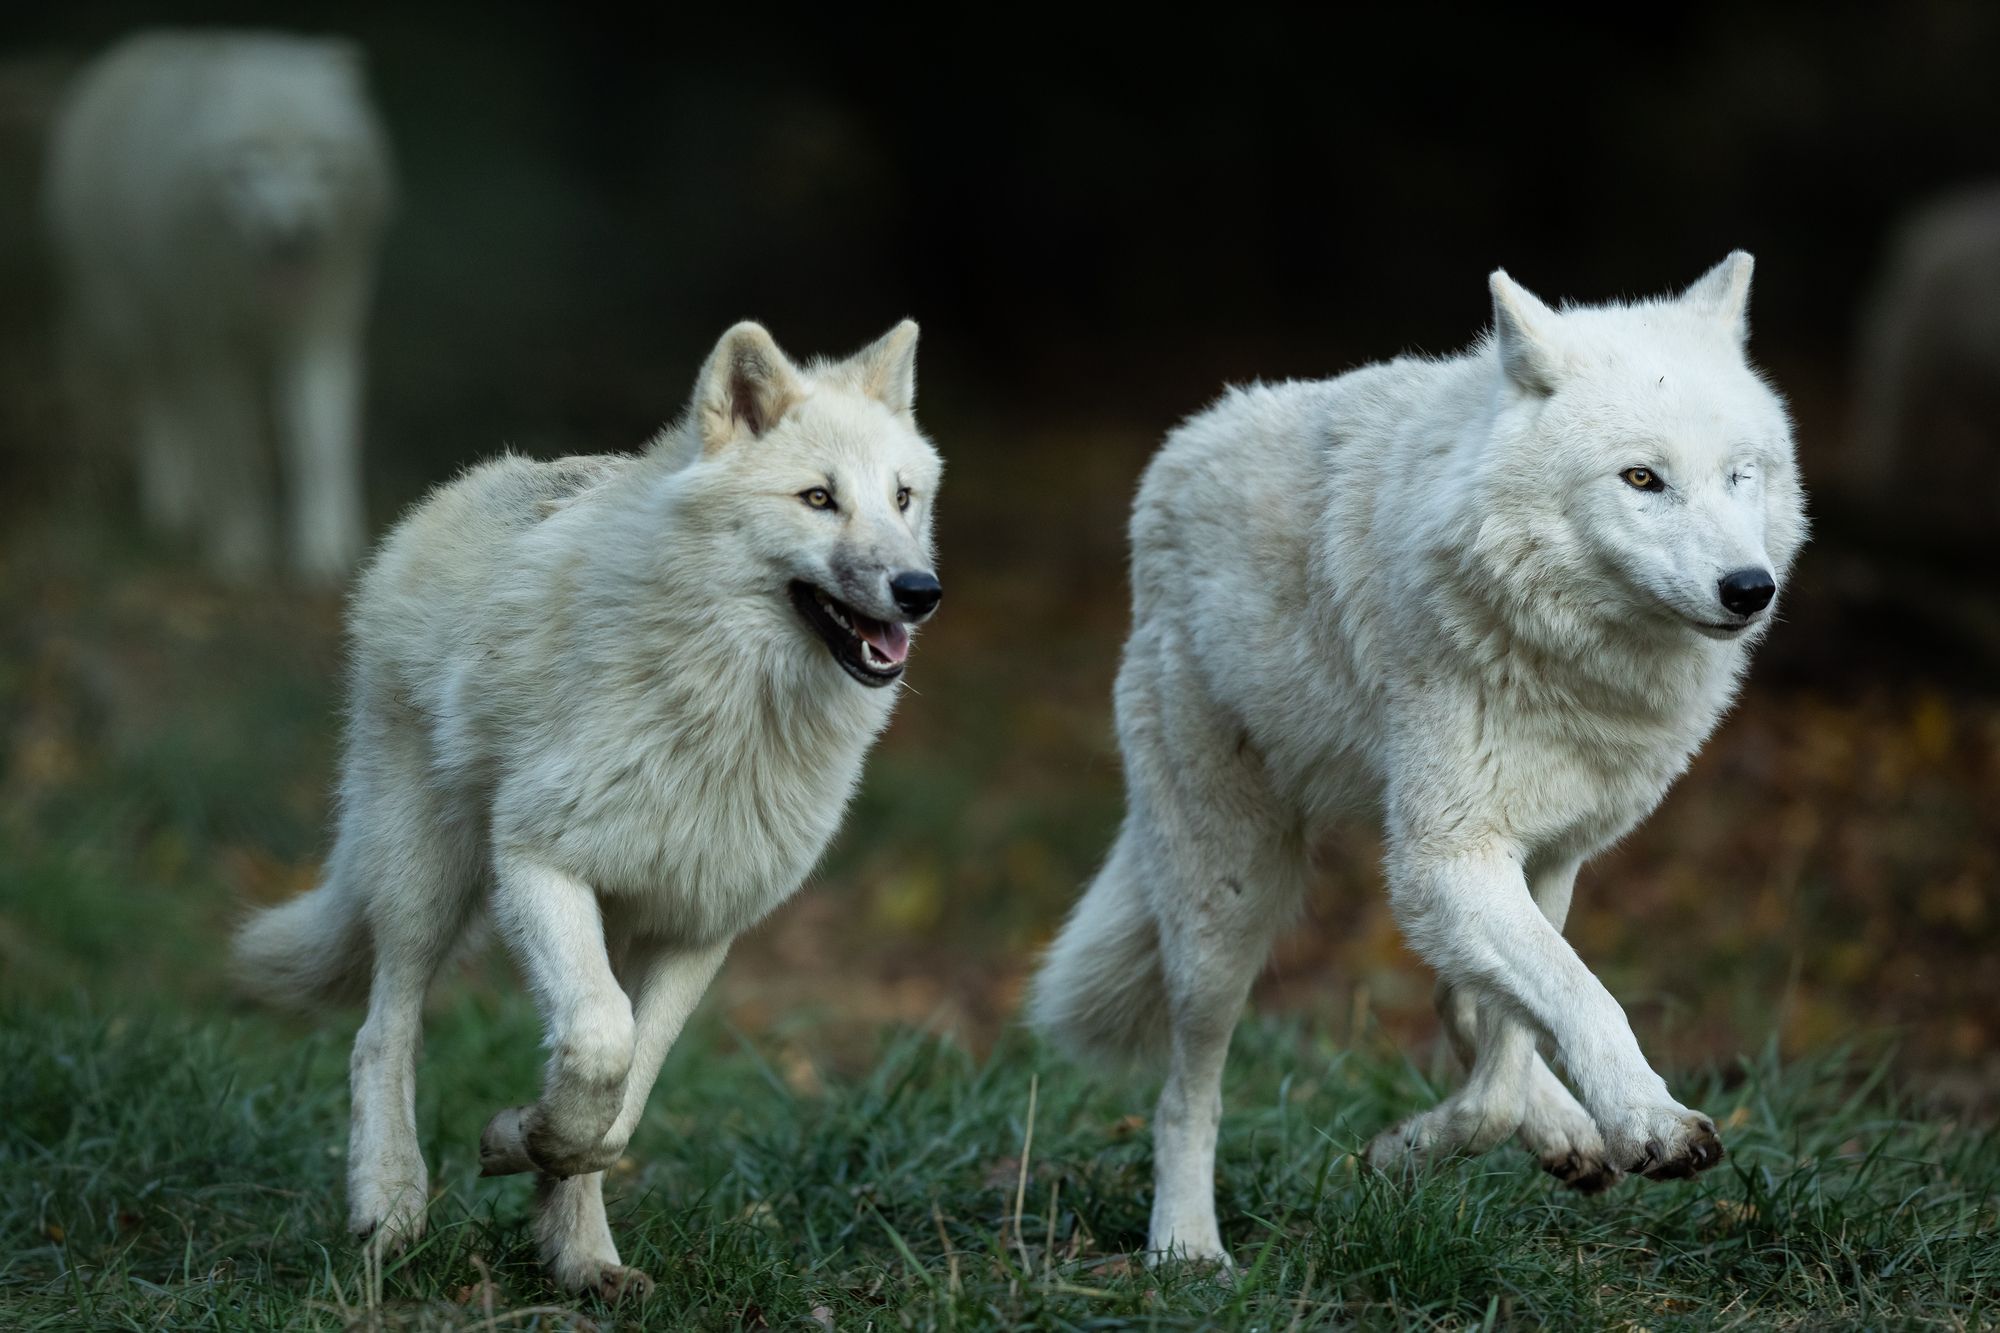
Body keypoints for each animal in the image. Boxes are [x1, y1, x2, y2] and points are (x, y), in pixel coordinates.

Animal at [45, 31, 394, 580]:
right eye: (251, 160)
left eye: (319, 157)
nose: (290, 236)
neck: (254, 287)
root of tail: (136, 45)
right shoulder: (218, 346)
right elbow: (234, 454)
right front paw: (240, 548)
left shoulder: (318, 332)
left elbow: (320, 446)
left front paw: (326, 552)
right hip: (140, 325)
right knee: (162, 406)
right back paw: (172, 507)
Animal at [230, 316, 948, 1288]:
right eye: (818, 498)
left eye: (903, 498)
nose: (920, 591)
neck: (728, 711)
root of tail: (464, 488)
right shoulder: (539, 863)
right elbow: (602, 1043)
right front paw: (518, 1137)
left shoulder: (697, 928)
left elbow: (620, 1105)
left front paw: (541, 1178)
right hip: (429, 882)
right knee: (382, 1033)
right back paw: (390, 1203)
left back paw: (585, 1260)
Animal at [1032, 254, 1816, 1264]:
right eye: (1642, 477)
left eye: (1738, 475)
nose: (1750, 589)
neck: (1571, 664)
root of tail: (1177, 449)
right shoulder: (1445, 854)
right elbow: (1583, 1002)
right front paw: (1646, 1122)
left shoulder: (1547, 854)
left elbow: (1518, 1042)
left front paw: (1427, 1145)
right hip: (1227, 905)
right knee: (1186, 1088)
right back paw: (1186, 1245)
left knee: (1464, 1001)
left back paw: (1557, 1128)